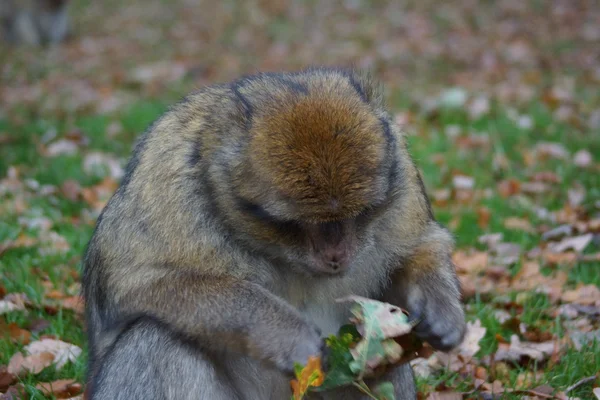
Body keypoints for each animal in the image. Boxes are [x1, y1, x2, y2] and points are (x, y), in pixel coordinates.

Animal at [82, 67, 466, 398]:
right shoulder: (166, 184)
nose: (336, 255)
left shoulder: (402, 169)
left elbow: (419, 246)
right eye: (295, 225)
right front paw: (286, 334)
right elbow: (142, 284)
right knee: (155, 336)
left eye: (363, 213)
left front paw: (441, 308)